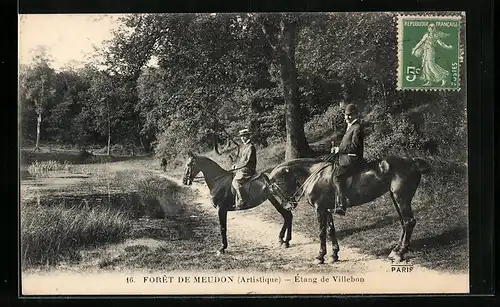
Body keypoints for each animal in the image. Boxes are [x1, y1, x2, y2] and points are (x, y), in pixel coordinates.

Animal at [268, 156, 432, 264]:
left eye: (275, 187)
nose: (288, 206)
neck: (314, 175)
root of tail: (413, 162)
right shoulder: (327, 209)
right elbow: (331, 231)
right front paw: (334, 255)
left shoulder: (319, 209)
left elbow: (322, 233)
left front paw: (320, 256)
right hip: (395, 198)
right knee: (404, 222)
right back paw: (396, 250)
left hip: (401, 198)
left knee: (409, 221)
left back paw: (400, 253)